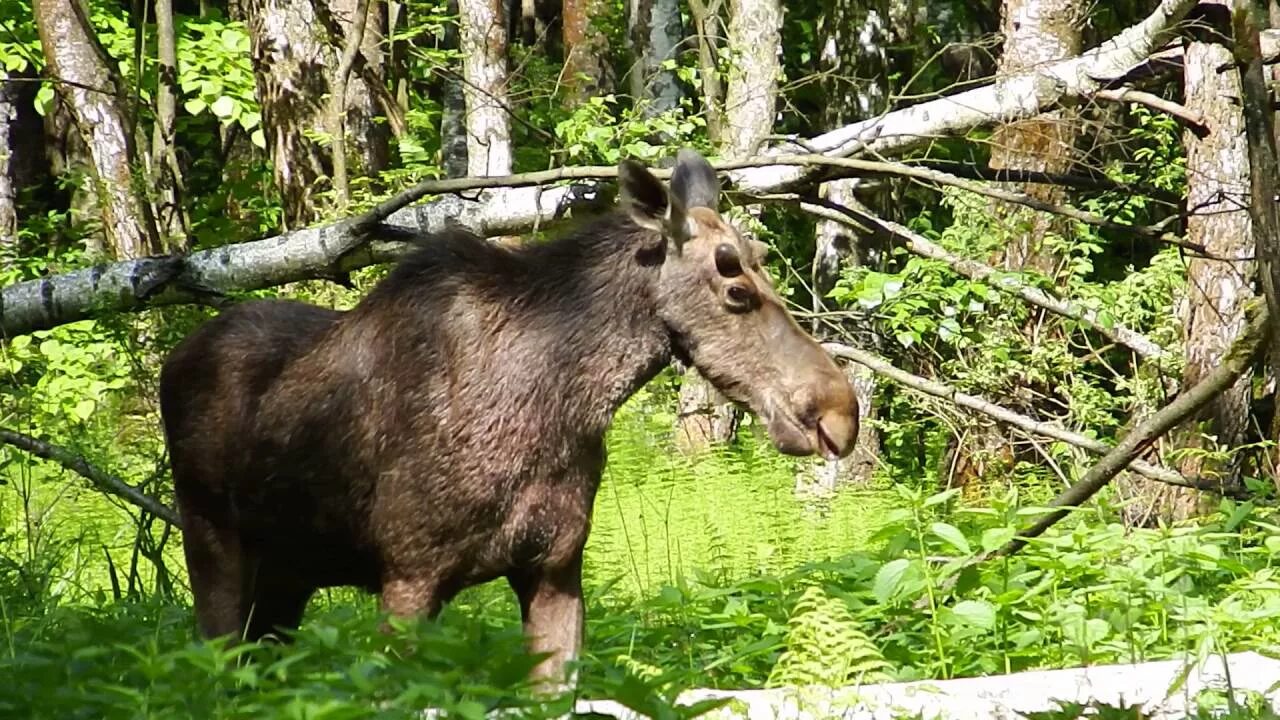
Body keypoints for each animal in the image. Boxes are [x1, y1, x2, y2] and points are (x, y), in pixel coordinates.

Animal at [162, 148, 860, 686]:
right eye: (735, 287)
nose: (839, 411)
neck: (560, 406)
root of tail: (177, 356)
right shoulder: (409, 575)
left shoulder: (554, 572)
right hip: (211, 539)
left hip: (291, 570)